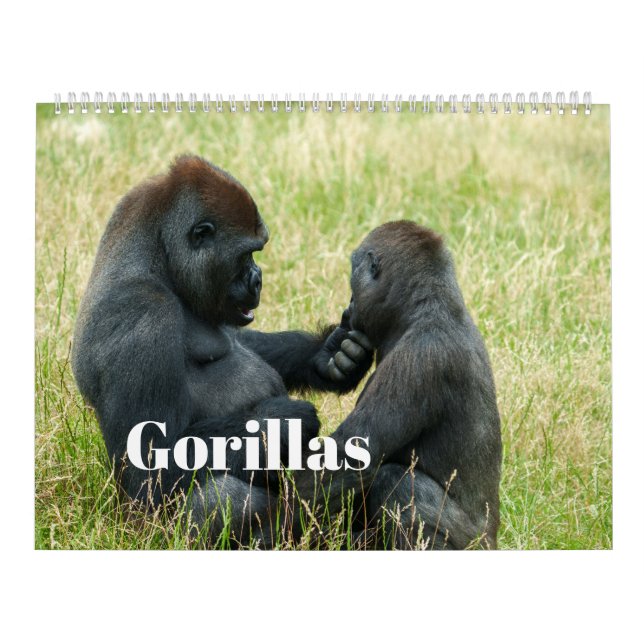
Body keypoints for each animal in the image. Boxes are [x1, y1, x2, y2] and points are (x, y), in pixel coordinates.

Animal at [71, 155, 374, 547]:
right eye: (247, 254)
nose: (258, 279)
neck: (156, 258)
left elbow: (245, 342)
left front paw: (330, 355)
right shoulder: (142, 315)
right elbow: (152, 466)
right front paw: (280, 422)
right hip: (142, 531)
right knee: (221, 495)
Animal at [293, 221, 502, 550]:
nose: (349, 308)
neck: (427, 305)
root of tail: (493, 539)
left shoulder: (420, 357)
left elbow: (347, 460)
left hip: (472, 545)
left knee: (399, 482)